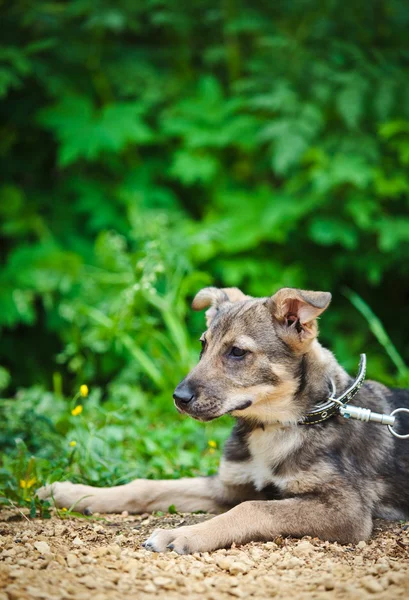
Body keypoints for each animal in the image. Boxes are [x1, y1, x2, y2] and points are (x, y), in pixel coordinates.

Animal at [38, 286, 408, 552]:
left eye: (237, 352)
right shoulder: (229, 484)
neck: (276, 425)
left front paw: (183, 535)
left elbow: (251, 509)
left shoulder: (347, 510)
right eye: (203, 345)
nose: (179, 398)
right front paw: (73, 493)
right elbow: (148, 485)